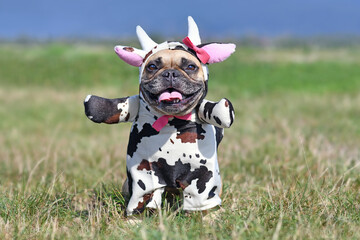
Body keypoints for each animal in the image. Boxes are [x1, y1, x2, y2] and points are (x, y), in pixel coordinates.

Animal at [84, 16, 236, 216]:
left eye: (190, 66)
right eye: (152, 66)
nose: (170, 73)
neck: (171, 121)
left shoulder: (202, 177)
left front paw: (208, 216)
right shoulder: (143, 173)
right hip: (141, 179)